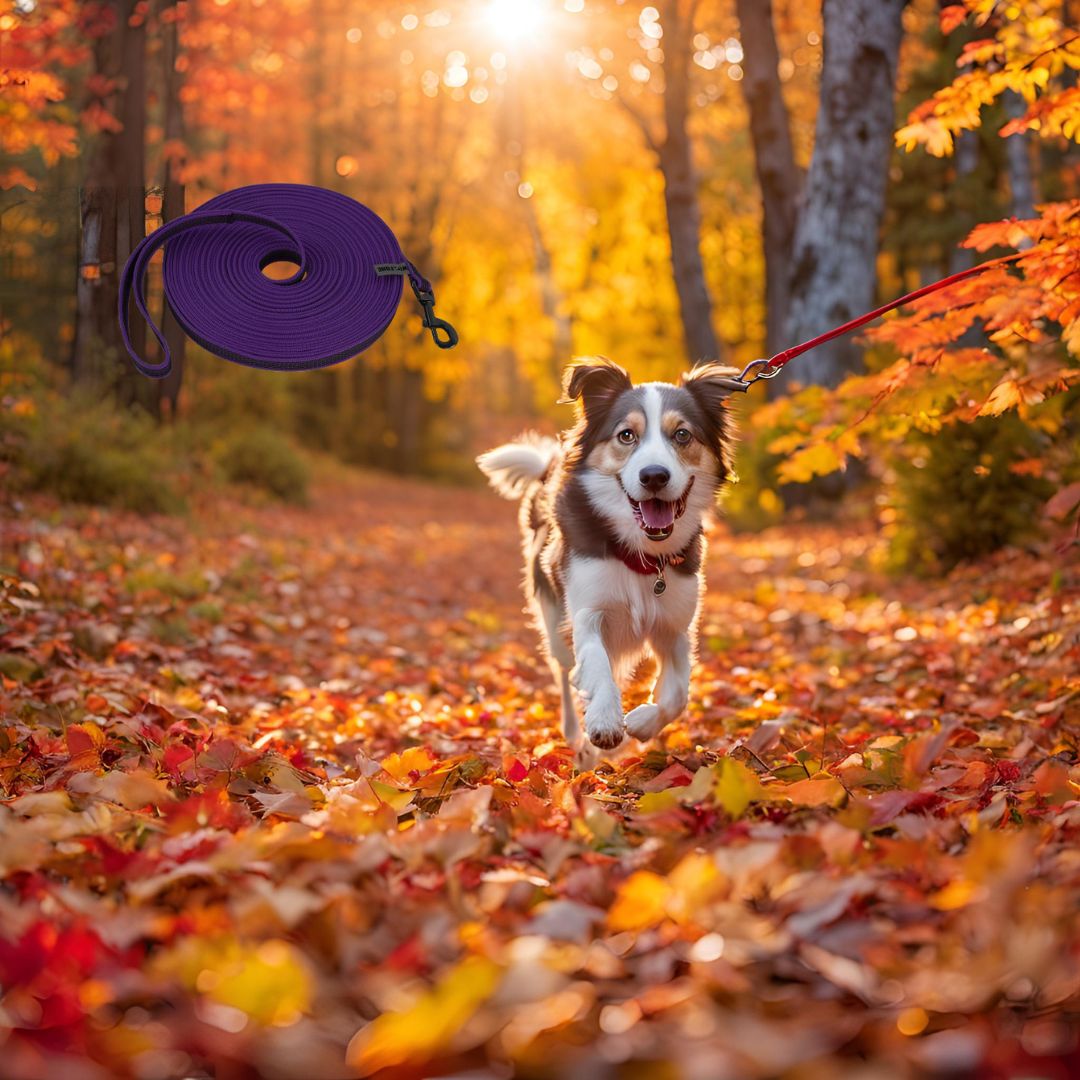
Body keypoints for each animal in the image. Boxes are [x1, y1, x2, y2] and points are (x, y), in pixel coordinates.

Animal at [477, 358, 738, 747]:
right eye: (626, 435)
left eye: (682, 435)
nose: (654, 476)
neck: (641, 554)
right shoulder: (587, 609)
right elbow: (596, 663)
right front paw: (603, 720)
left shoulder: (674, 625)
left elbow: (678, 692)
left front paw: (643, 722)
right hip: (553, 620)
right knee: (566, 674)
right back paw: (576, 736)